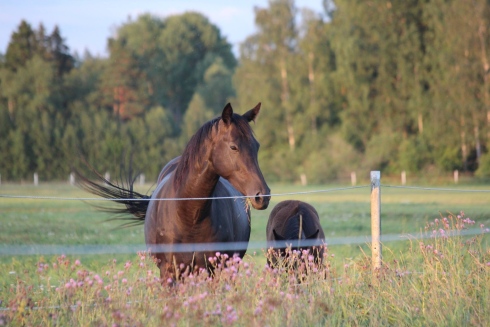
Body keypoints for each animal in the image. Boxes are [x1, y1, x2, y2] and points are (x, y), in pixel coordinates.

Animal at [78, 103, 270, 282]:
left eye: (257, 146)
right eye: (233, 147)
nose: (263, 195)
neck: (189, 215)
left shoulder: (213, 271)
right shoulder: (169, 272)